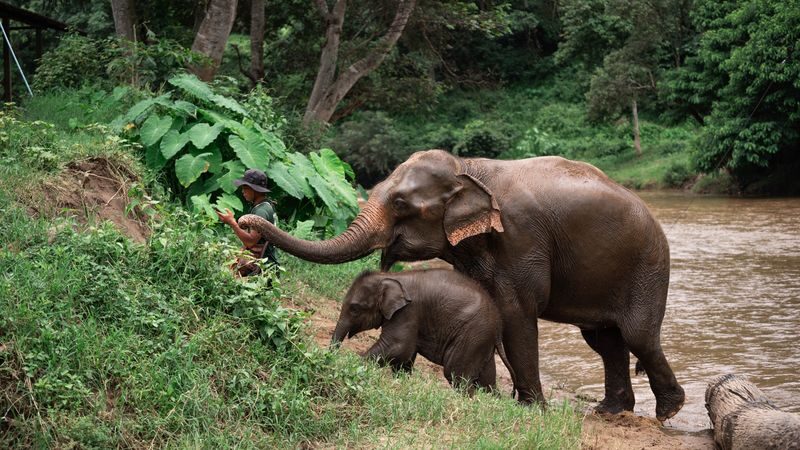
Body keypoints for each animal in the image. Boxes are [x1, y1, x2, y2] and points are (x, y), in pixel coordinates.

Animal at [331, 269, 515, 394]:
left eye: (355, 309)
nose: (332, 356)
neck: (391, 276)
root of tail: (498, 325)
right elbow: (405, 358)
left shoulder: (407, 312)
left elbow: (398, 347)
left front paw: (354, 364)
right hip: (482, 341)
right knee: (486, 382)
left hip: (472, 335)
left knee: (456, 374)